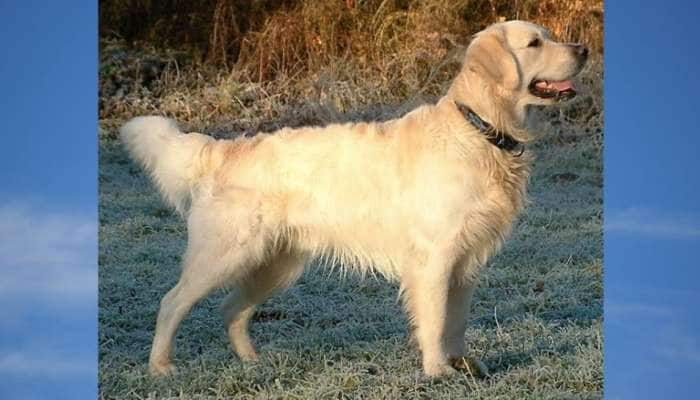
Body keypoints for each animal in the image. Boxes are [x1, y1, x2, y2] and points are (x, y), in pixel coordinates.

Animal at [121, 20, 592, 376]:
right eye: (535, 43)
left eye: (548, 36)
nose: (585, 49)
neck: (480, 129)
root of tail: (224, 150)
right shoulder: (435, 259)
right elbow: (435, 320)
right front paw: (437, 371)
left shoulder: (467, 262)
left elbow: (456, 323)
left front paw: (465, 368)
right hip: (225, 253)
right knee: (172, 302)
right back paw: (161, 368)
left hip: (276, 264)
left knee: (232, 309)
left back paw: (254, 362)